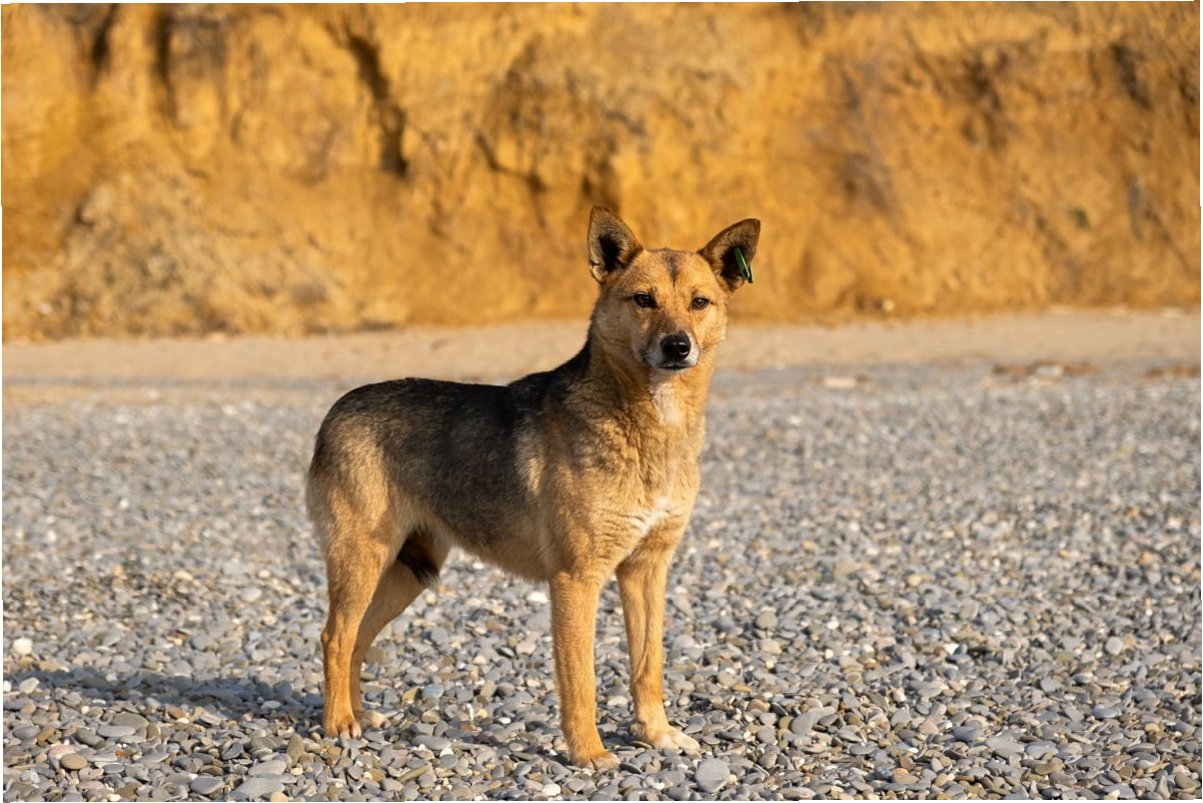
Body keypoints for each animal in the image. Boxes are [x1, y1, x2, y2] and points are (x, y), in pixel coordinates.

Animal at [306, 207, 759, 769]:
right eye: (643, 299)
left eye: (700, 303)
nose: (677, 347)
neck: (648, 427)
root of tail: (336, 409)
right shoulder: (576, 579)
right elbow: (581, 681)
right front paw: (589, 752)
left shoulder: (647, 570)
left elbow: (647, 666)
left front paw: (658, 735)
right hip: (363, 561)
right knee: (334, 636)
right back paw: (338, 722)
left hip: (406, 575)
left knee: (357, 640)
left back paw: (358, 713)